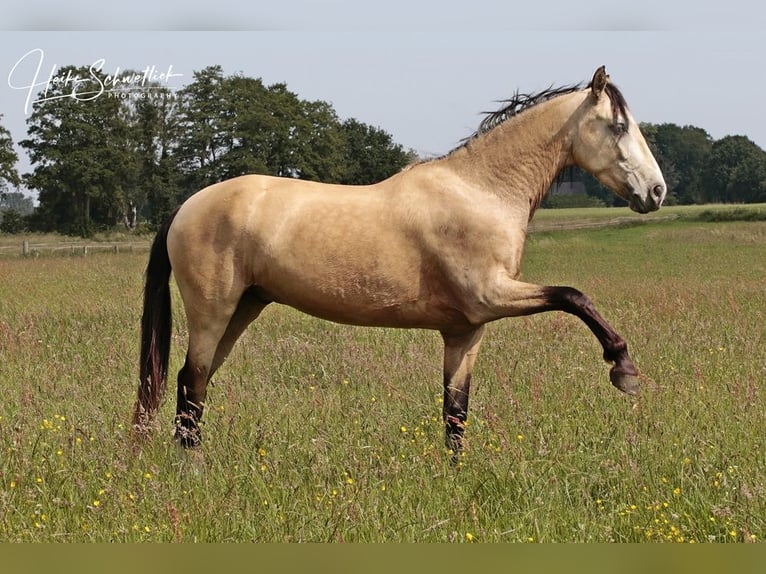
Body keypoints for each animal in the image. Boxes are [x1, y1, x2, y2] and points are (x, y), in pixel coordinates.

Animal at [132, 64, 664, 460]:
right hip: (213, 312)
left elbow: (456, 413)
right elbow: (574, 296)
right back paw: (194, 470)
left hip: (242, 310)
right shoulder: (493, 295)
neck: (481, 192)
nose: (656, 192)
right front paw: (624, 369)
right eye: (618, 126)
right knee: (190, 383)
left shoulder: (466, 330)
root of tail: (185, 207)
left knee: (194, 385)